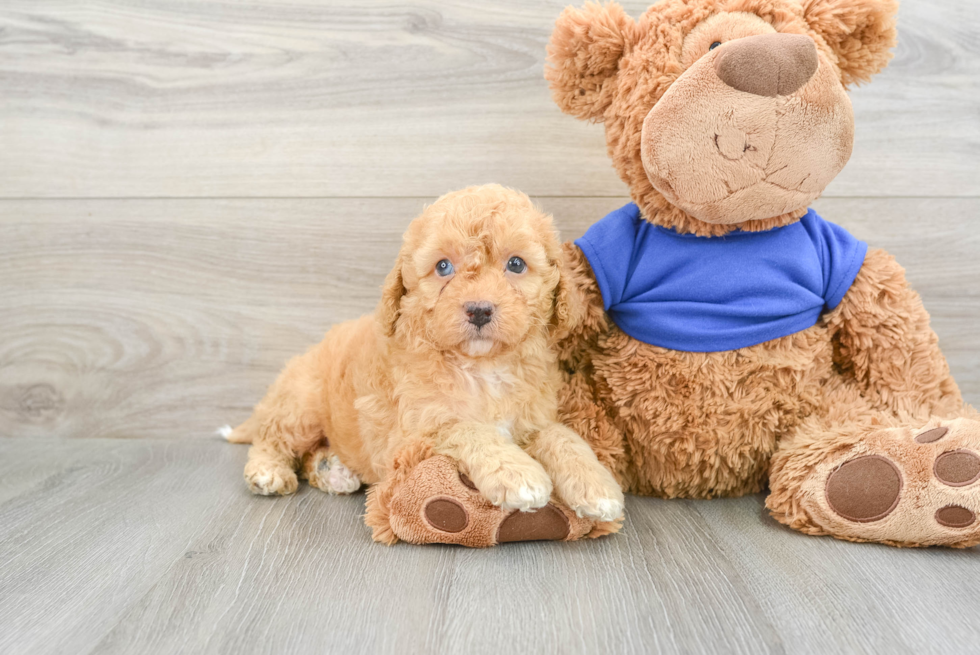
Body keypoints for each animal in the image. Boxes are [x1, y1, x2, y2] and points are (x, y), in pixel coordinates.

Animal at [225, 184, 624, 524]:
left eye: (516, 264)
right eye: (443, 266)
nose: (479, 310)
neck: (482, 368)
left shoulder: (532, 418)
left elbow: (561, 436)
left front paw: (597, 485)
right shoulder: (411, 437)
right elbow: (466, 427)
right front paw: (517, 473)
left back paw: (331, 470)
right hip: (302, 403)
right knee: (273, 436)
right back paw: (268, 471)